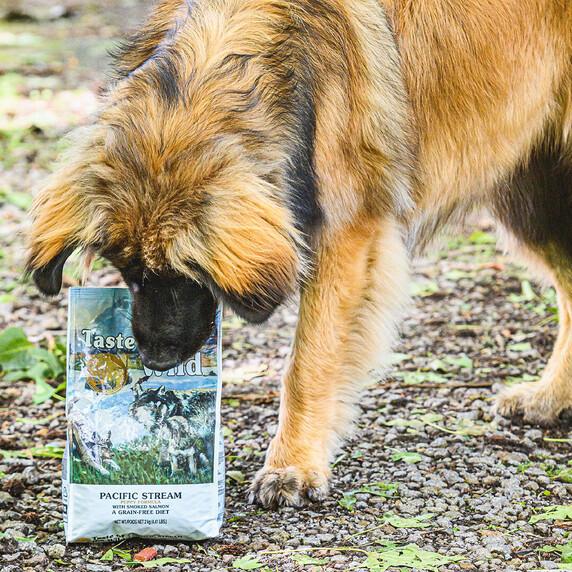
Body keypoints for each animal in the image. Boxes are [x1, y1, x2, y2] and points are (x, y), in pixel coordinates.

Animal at [26, 1, 572, 510]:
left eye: (186, 276)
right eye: (130, 273)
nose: (156, 363)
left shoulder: (347, 238)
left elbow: (307, 364)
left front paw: (292, 466)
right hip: (533, 191)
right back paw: (550, 397)